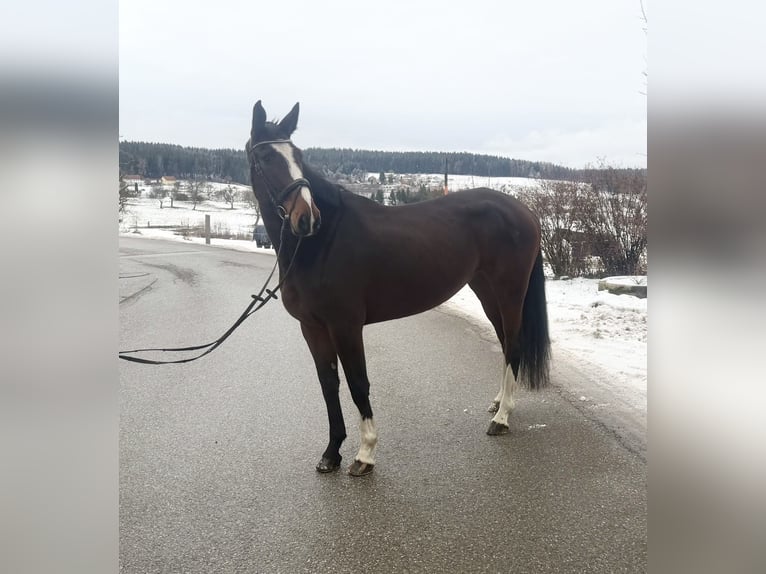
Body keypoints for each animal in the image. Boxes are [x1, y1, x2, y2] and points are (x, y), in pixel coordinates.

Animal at [245, 100, 550, 476]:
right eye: (266, 158)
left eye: (298, 156)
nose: (307, 217)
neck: (321, 243)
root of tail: (526, 212)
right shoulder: (312, 328)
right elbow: (329, 385)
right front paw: (331, 453)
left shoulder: (345, 326)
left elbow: (358, 383)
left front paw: (365, 454)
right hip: (485, 291)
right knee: (507, 343)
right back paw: (498, 404)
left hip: (509, 292)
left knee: (514, 344)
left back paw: (503, 418)